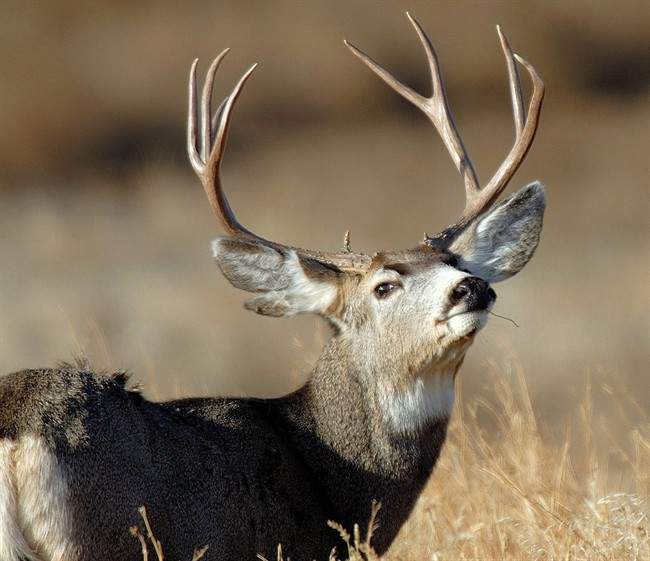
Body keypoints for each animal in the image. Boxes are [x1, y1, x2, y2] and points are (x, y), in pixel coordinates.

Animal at [0, 13, 544, 561]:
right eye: (384, 287)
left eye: (452, 261)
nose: (471, 287)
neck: (327, 470)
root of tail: (18, 424)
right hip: (103, 540)